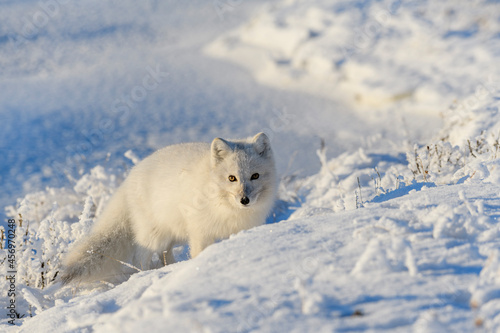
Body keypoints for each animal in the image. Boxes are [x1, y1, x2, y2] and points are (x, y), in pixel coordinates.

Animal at [61, 132, 278, 282]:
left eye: (255, 176)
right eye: (232, 178)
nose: (244, 200)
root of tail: (131, 176)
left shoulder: (244, 229)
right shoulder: (201, 232)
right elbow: (199, 253)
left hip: (172, 232)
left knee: (165, 253)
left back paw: (171, 268)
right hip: (154, 234)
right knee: (141, 257)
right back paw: (145, 274)